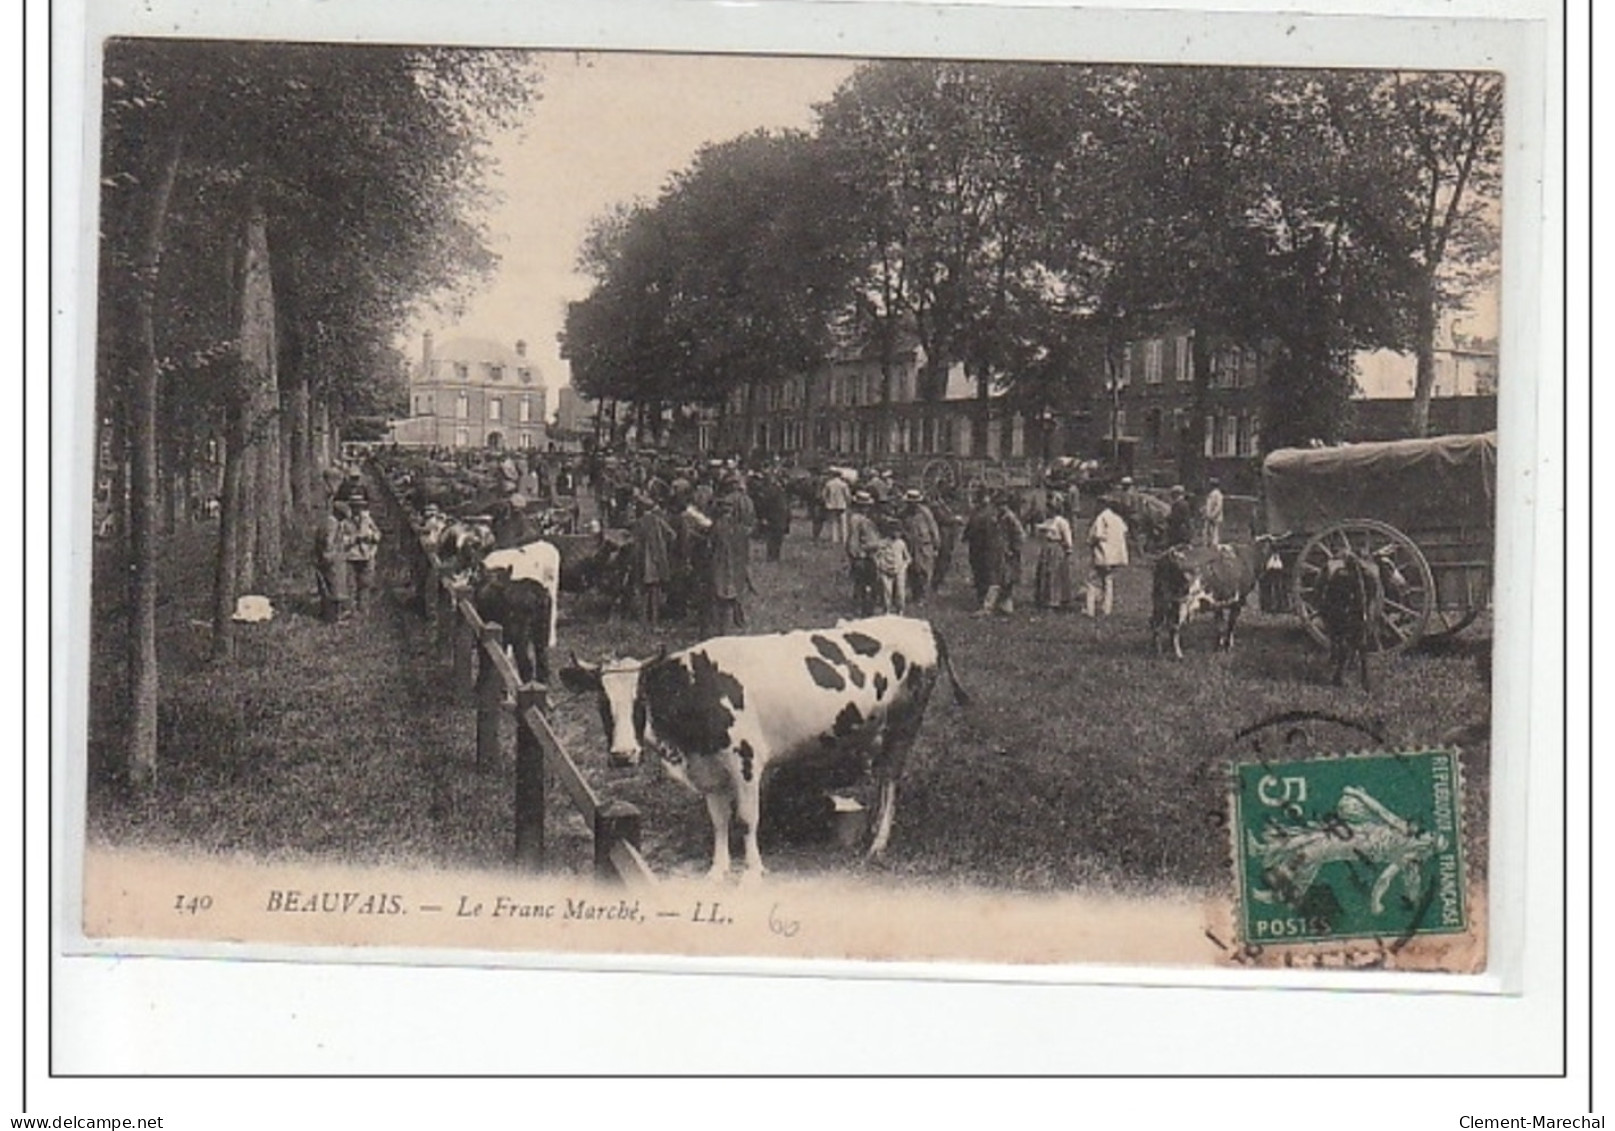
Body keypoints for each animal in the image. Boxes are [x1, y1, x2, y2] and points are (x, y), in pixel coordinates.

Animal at [562, 617, 962, 885]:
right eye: (602, 701)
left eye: (641, 698)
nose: (623, 755)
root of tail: (919, 622)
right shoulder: (708, 770)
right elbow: (719, 820)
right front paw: (718, 869)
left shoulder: (746, 762)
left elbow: (746, 819)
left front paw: (753, 871)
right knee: (881, 779)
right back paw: (871, 832)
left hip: (903, 727)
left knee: (891, 780)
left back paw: (877, 844)